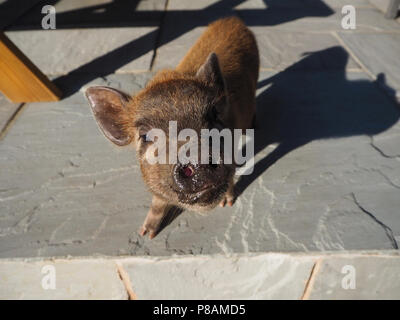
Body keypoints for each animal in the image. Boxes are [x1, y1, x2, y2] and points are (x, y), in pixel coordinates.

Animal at [85, 16, 260, 238]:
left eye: (213, 115)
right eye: (145, 135)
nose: (198, 157)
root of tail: (233, 19)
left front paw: (226, 204)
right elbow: (157, 203)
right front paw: (145, 234)